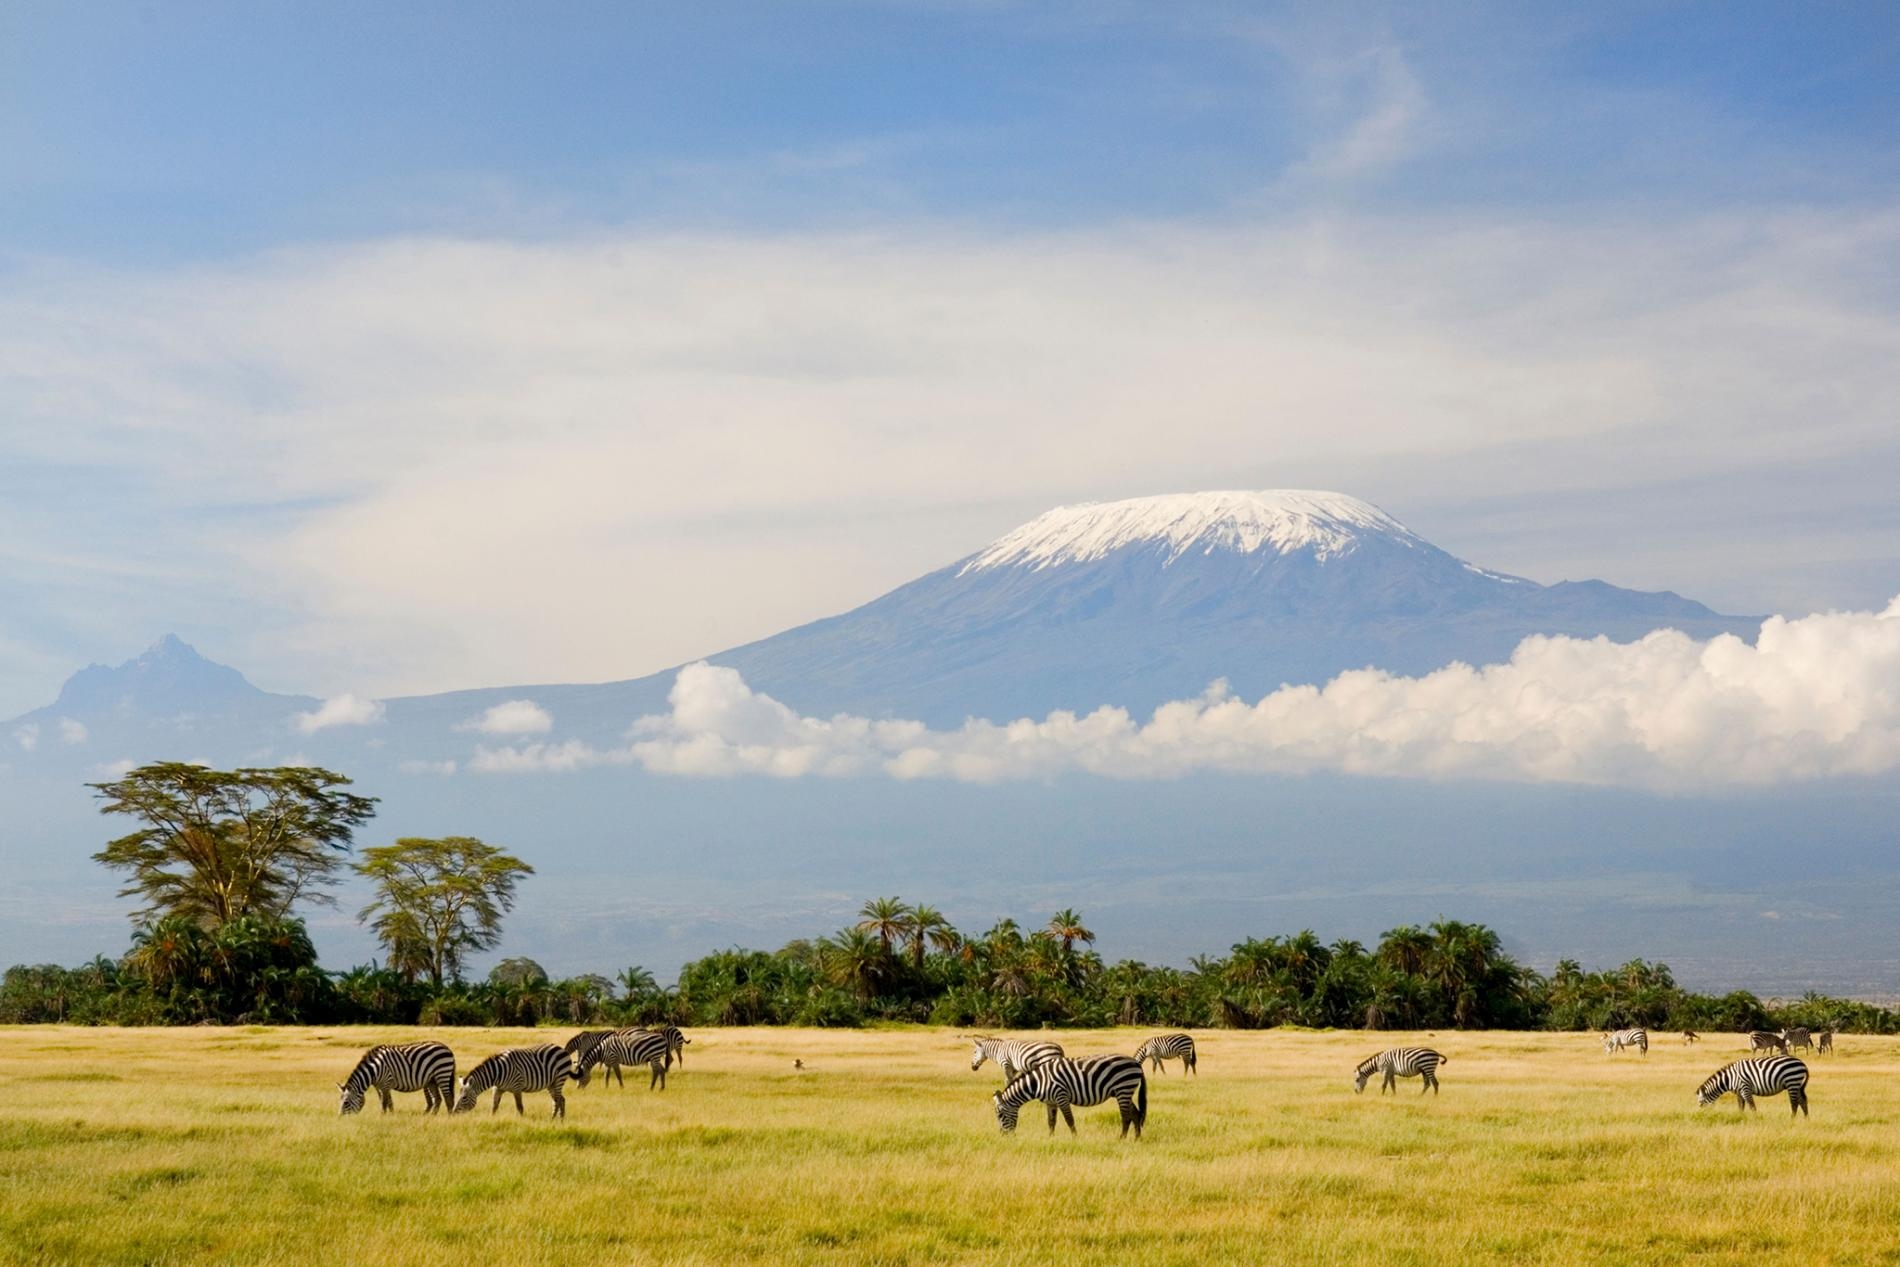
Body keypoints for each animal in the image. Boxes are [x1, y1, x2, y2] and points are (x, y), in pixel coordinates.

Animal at [988, 1056, 1147, 1147]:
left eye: (1000, 1115)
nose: (1003, 1137)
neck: (1037, 1082)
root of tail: (1136, 1063)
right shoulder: (1050, 1102)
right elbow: (1051, 1121)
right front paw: (1050, 1139)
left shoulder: (1061, 1096)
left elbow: (1069, 1120)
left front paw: (1075, 1139)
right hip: (1124, 1091)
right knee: (1135, 1114)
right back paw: (1137, 1139)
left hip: (1123, 1089)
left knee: (1126, 1116)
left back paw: (1121, 1139)